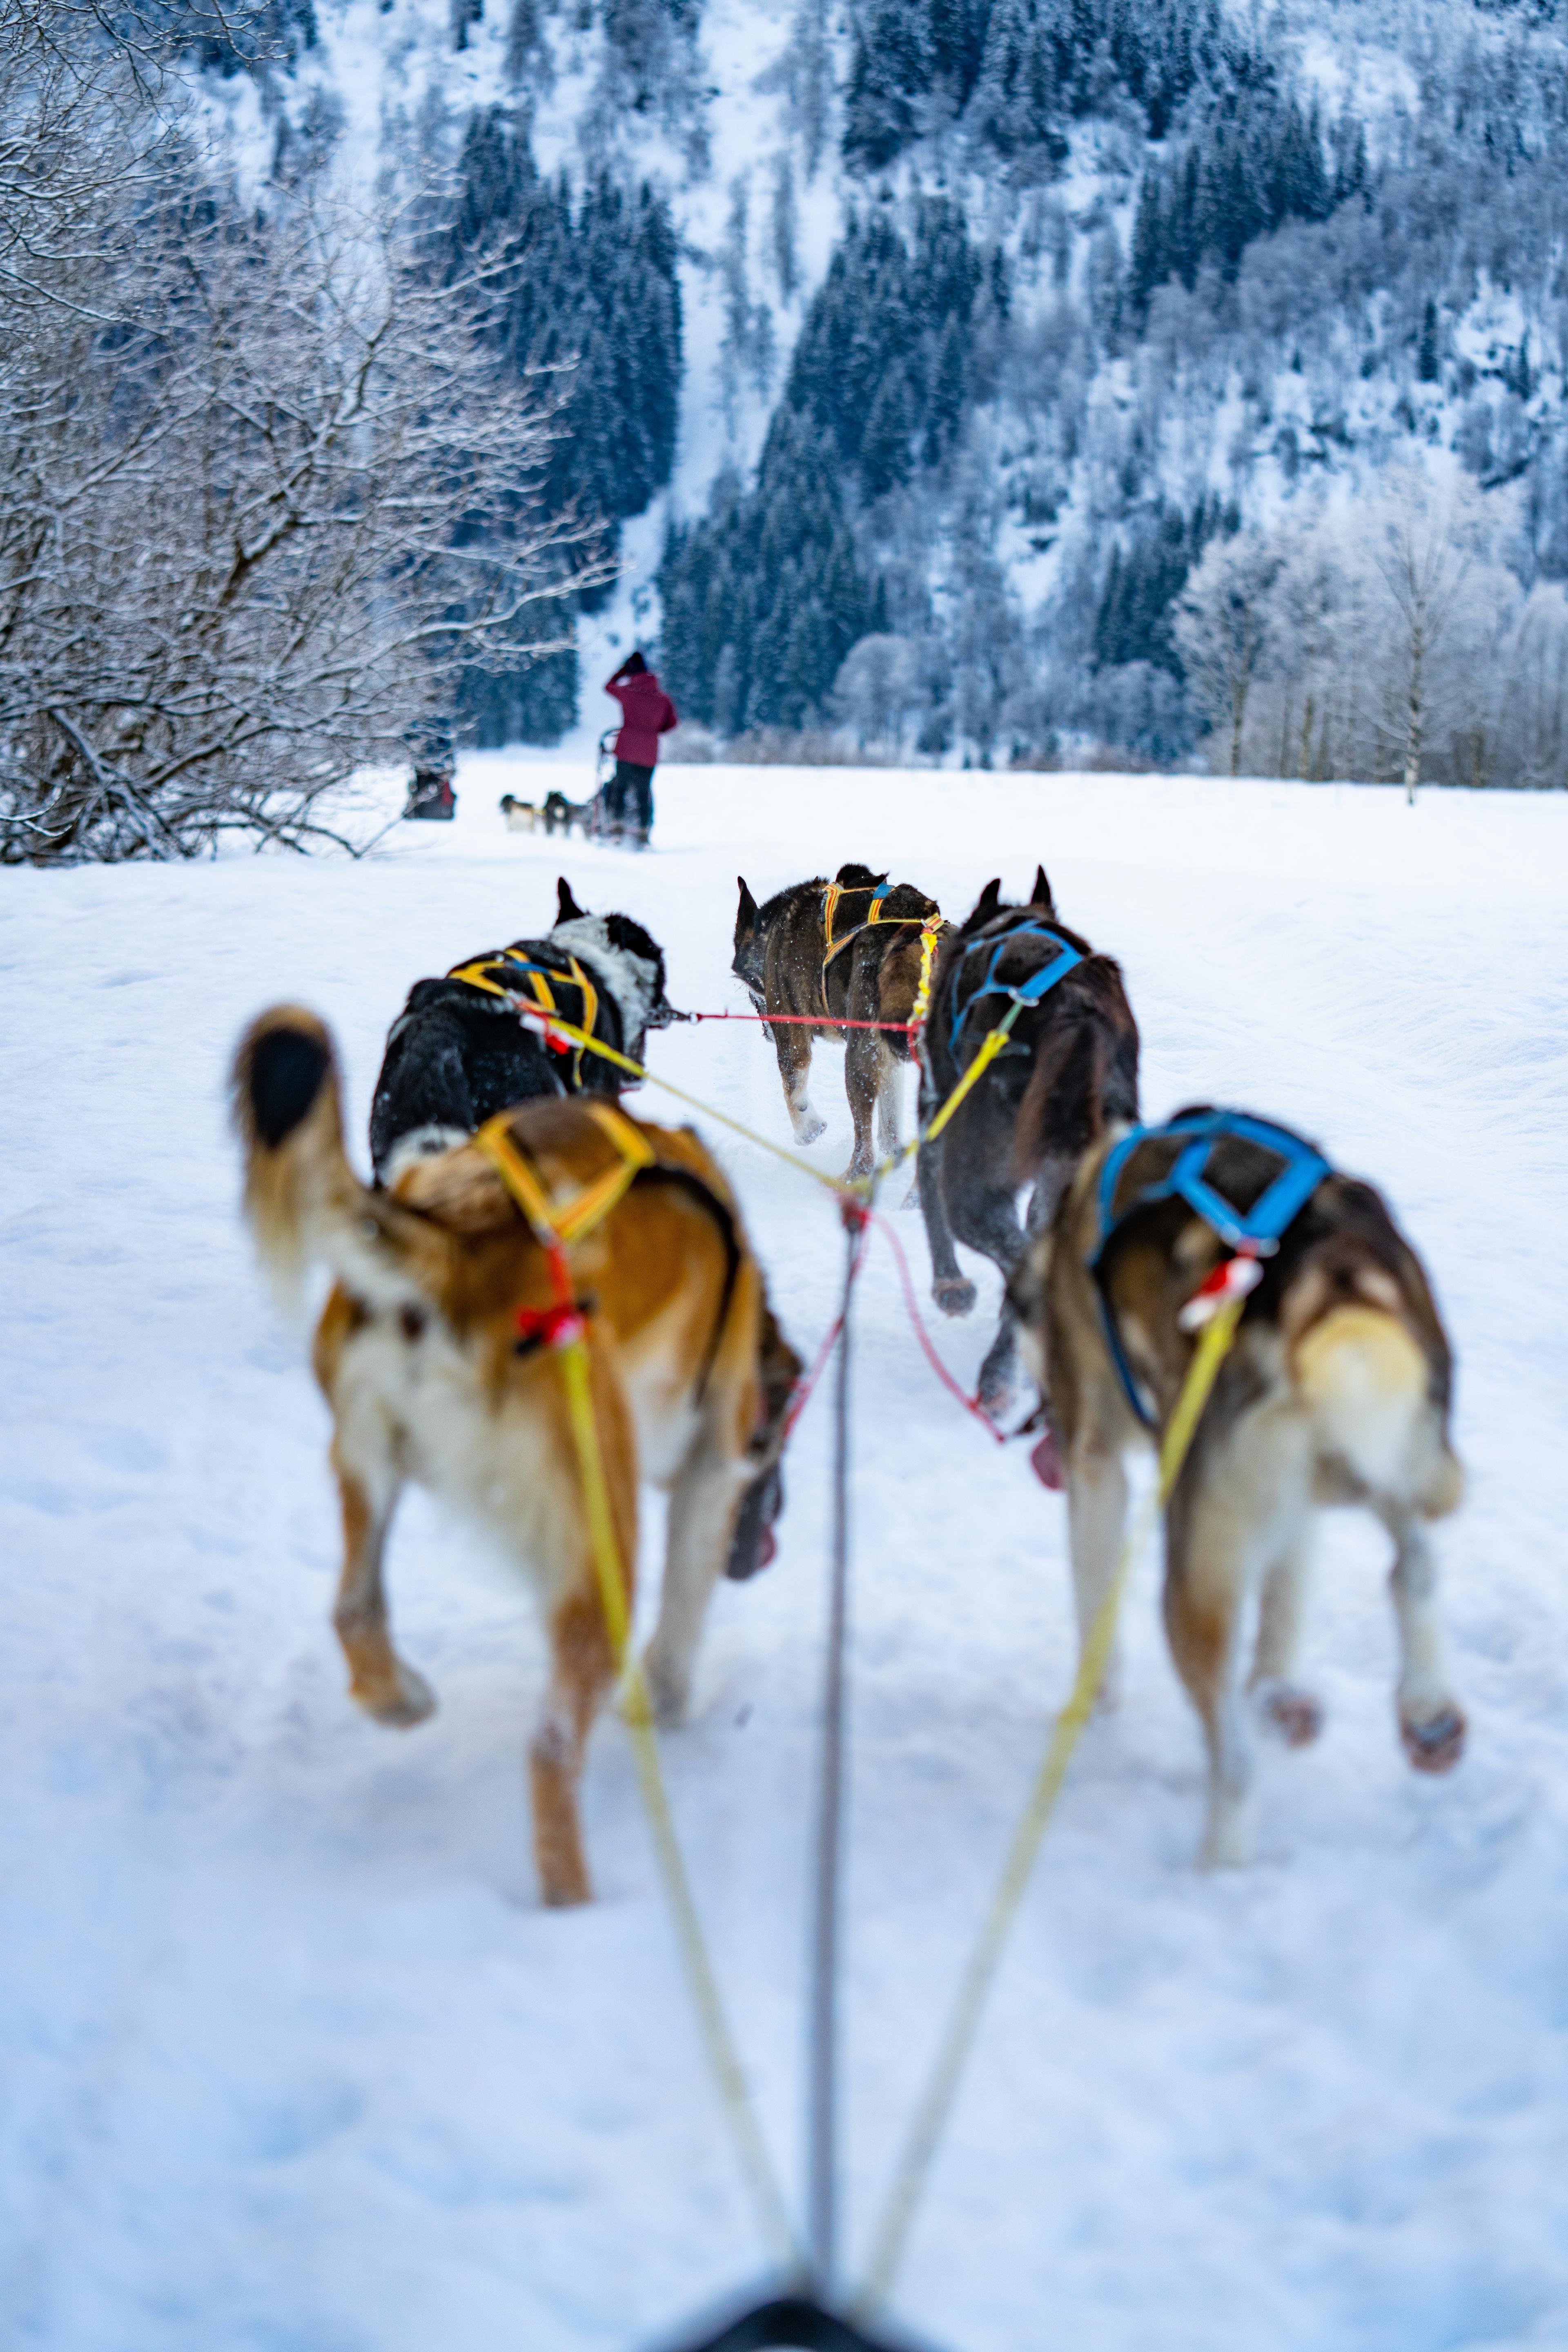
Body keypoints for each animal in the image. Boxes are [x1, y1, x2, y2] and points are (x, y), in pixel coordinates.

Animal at [230, 1011, 808, 1910]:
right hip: (602, 1546)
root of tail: (457, 1249)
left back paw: (401, 1696)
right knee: (550, 1746)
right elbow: (682, 1616)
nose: (760, 1552)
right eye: (775, 1450)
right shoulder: (714, 1468)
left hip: (365, 1467)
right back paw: (575, 1905)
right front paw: (670, 1703)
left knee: (355, 1611)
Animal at [733, 865, 945, 1185]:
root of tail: (917, 932)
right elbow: (890, 1129)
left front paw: (808, 1129)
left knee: (864, 1155)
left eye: (752, 993)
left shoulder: (790, 1028)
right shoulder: (890, 1058)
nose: (765, 1032)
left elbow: (793, 1089)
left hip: (858, 1059)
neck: (771, 936)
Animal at [912, 870, 1133, 1401]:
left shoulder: (935, 1109)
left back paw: (1000, 1376)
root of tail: (1074, 1013)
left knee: (1026, 1263)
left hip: (975, 1178)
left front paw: (950, 1287)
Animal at [1011, 1110, 1467, 1862]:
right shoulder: (1295, 1503)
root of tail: (1329, 1264)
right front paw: (1276, 1691)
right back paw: (1417, 1711)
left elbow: (1095, 1599)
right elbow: (1286, 1603)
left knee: (1236, 1762)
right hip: (1366, 1456)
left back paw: (1220, 1862)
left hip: (1197, 1570)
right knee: (1416, 1563)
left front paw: (1094, 1697)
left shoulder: (1095, 1462)